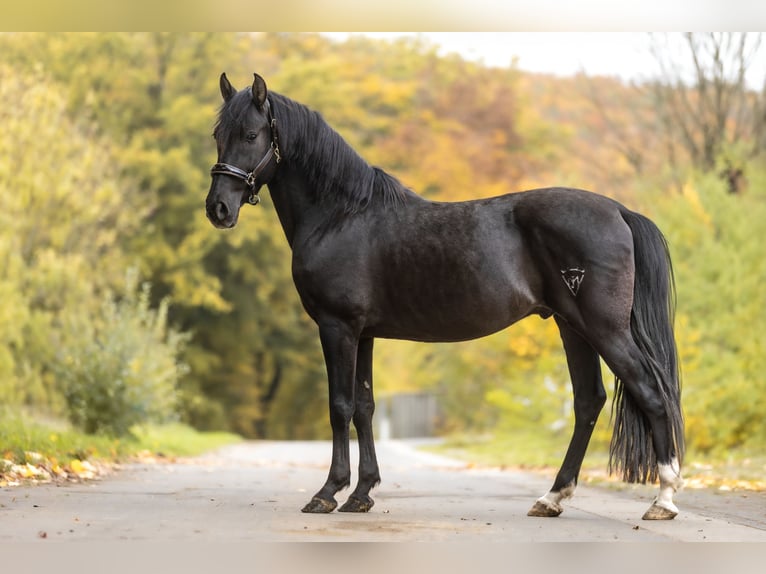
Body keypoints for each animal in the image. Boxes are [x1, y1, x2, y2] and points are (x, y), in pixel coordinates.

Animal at [205, 73, 685, 521]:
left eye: (251, 135)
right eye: (217, 135)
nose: (218, 209)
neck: (341, 215)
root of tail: (618, 211)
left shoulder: (337, 327)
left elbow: (339, 406)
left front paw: (327, 493)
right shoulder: (364, 334)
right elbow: (364, 406)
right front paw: (362, 494)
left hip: (604, 328)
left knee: (651, 391)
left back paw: (663, 498)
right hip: (573, 328)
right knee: (588, 402)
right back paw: (552, 497)